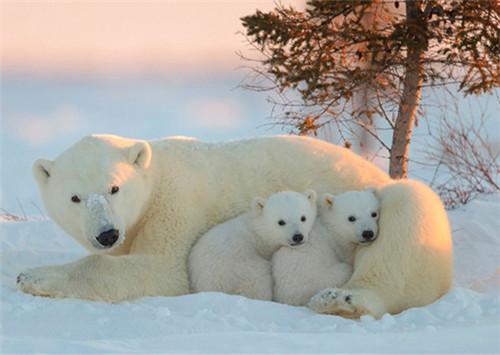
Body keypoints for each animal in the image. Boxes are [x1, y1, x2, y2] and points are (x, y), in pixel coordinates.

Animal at [18, 135, 454, 322]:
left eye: (114, 187)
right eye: (75, 197)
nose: (106, 233)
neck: (155, 173)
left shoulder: (176, 204)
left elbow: (165, 271)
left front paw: (33, 276)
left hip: (386, 208)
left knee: (408, 214)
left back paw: (341, 299)